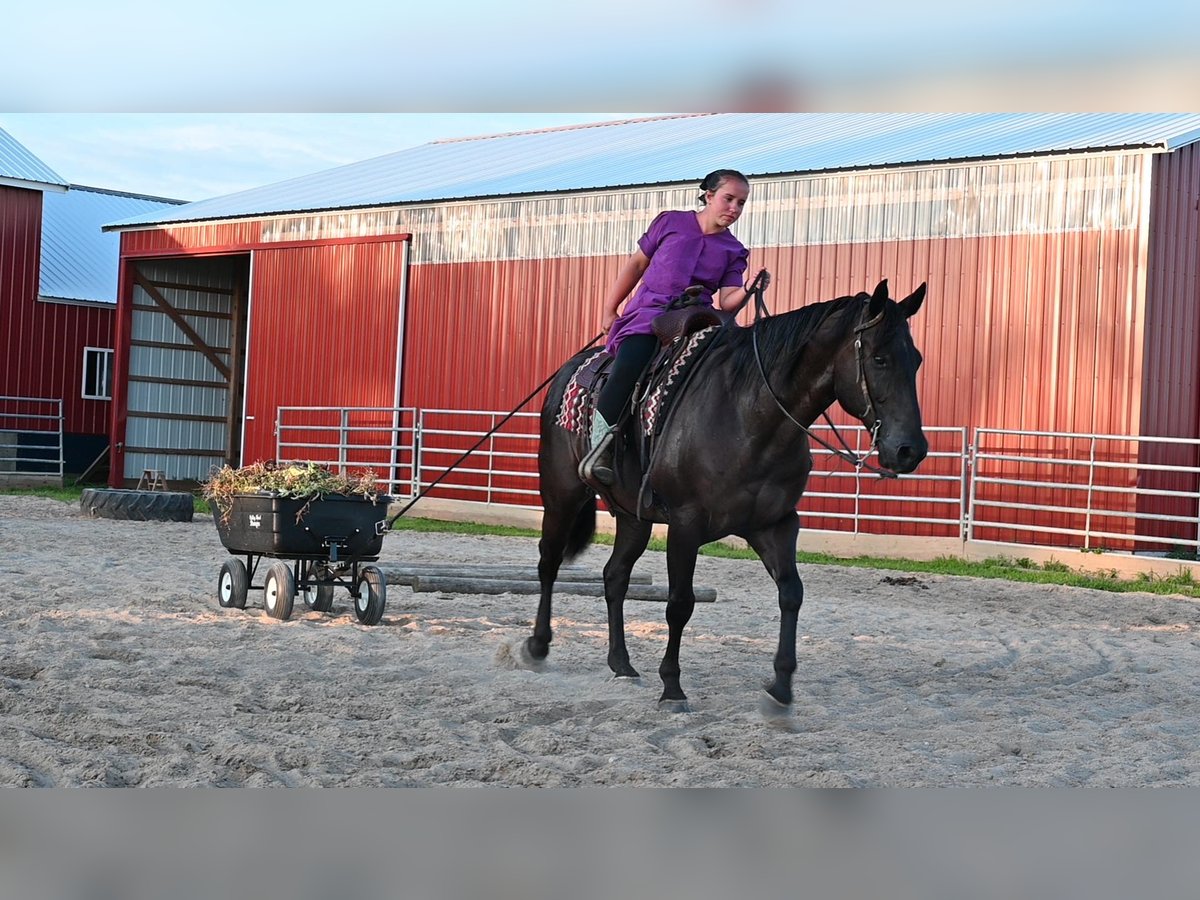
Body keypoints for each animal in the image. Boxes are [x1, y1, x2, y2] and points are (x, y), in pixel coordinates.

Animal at [518, 278, 926, 715]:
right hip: (561, 494)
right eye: (880, 359)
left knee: (615, 576)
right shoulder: (685, 523)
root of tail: (568, 372)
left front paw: (781, 687)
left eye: (916, 360)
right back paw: (538, 645)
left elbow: (791, 594)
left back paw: (621, 663)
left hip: (633, 517)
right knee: (549, 562)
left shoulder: (775, 524)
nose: (910, 450)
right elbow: (680, 603)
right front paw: (672, 687)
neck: (750, 416)